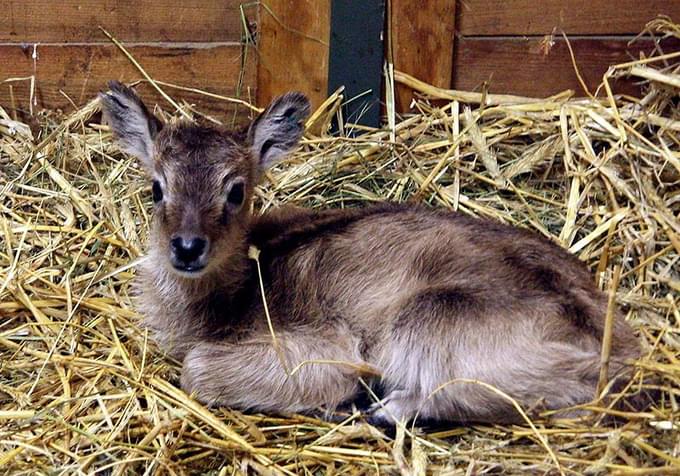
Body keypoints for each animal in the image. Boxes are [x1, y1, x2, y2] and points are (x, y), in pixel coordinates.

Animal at [98, 82, 640, 424]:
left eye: (236, 191)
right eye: (156, 187)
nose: (187, 247)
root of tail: (624, 351)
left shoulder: (326, 344)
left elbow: (197, 369)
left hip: (431, 320)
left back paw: (381, 409)